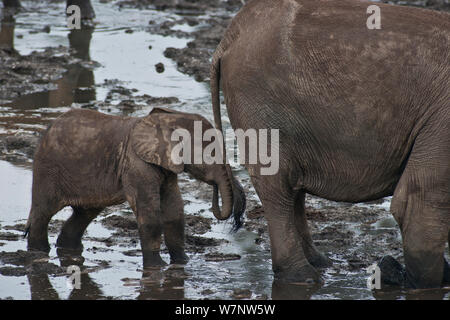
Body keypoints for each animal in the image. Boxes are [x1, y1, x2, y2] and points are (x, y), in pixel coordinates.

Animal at [24, 108, 246, 268]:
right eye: (211, 152)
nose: (237, 221)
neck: (169, 119)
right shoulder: (137, 165)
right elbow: (149, 214)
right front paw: (157, 267)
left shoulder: (165, 167)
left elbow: (174, 212)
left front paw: (183, 263)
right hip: (47, 169)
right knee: (43, 212)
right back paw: (38, 252)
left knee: (84, 214)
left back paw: (67, 249)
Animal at [212, 0, 450, 288]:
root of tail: (230, 36)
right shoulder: (442, 122)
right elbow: (419, 201)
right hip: (257, 102)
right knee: (277, 185)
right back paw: (304, 276)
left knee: (292, 186)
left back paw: (320, 263)